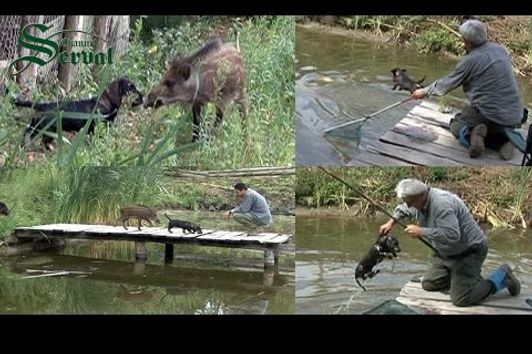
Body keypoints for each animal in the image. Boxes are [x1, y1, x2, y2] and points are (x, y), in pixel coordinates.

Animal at [14, 76, 143, 149]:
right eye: (130, 88)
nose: (142, 96)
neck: (106, 104)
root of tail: (42, 105)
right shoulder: (97, 128)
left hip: (36, 125)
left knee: (27, 133)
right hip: (48, 130)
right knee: (42, 141)